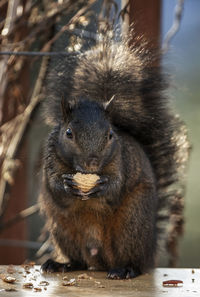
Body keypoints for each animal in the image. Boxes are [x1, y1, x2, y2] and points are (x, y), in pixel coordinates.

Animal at [39, 36, 191, 278]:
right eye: (69, 133)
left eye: (110, 134)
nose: (92, 163)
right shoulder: (50, 158)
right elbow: (53, 187)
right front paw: (65, 185)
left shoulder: (122, 161)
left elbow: (116, 188)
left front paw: (102, 186)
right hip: (63, 229)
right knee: (79, 260)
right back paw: (62, 264)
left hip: (132, 224)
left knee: (134, 260)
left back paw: (126, 269)